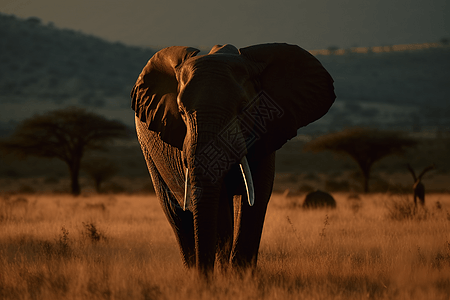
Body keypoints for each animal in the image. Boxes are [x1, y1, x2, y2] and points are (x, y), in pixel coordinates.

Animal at [130, 42, 334, 276]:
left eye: (244, 107)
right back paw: (192, 272)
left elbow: (256, 198)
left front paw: (241, 277)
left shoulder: (266, 133)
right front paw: (226, 277)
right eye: (181, 111)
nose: (206, 278)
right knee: (177, 215)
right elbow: (219, 204)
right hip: (149, 154)